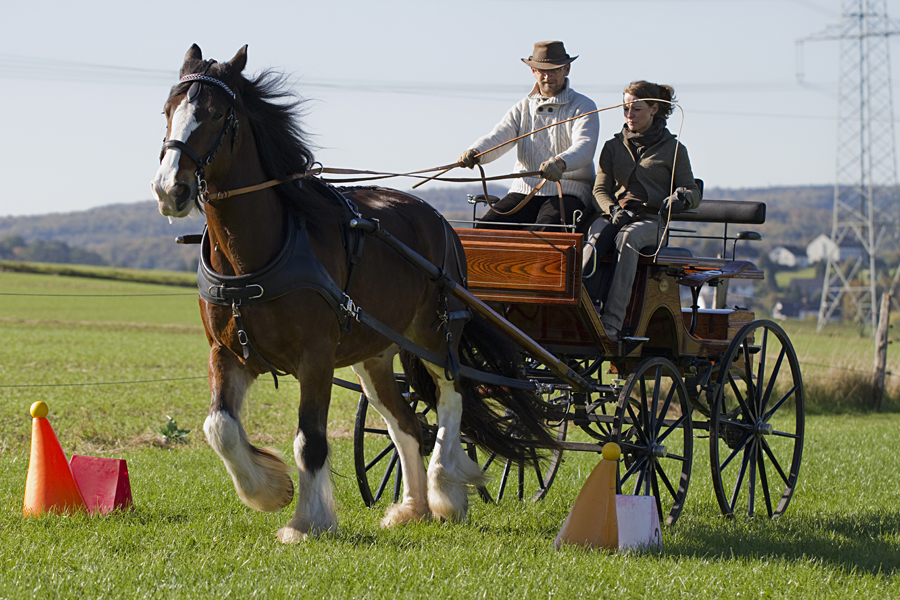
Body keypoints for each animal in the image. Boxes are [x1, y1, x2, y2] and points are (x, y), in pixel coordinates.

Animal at [149, 45, 556, 544]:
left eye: (216, 114)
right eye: (167, 111)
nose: (170, 189)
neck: (261, 250)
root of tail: (438, 220)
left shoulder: (316, 357)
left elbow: (310, 440)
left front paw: (306, 522)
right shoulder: (227, 353)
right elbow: (219, 427)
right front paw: (270, 489)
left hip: (435, 337)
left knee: (450, 399)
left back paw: (445, 492)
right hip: (374, 356)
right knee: (406, 425)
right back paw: (412, 508)